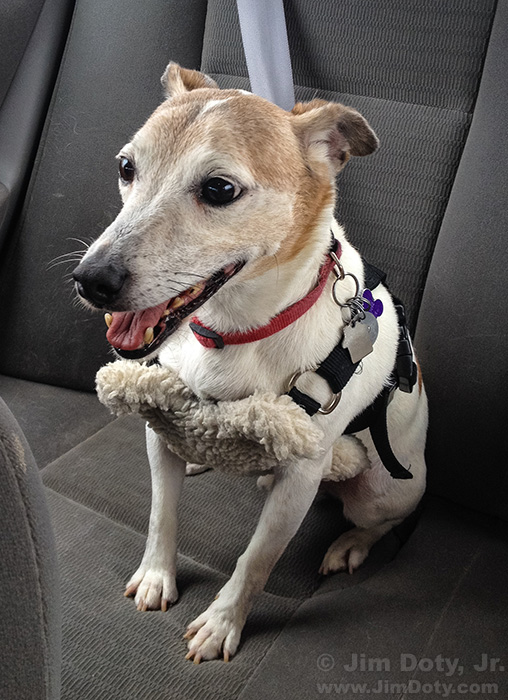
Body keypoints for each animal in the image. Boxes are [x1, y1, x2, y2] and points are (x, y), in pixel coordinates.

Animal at [72, 64, 428, 660]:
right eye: (126, 167)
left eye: (219, 189)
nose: (90, 281)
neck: (232, 331)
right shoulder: (157, 414)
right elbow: (161, 514)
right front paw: (156, 575)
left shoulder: (301, 476)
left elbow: (256, 560)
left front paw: (222, 623)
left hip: (384, 489)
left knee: (381, 521)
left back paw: (350, 544)